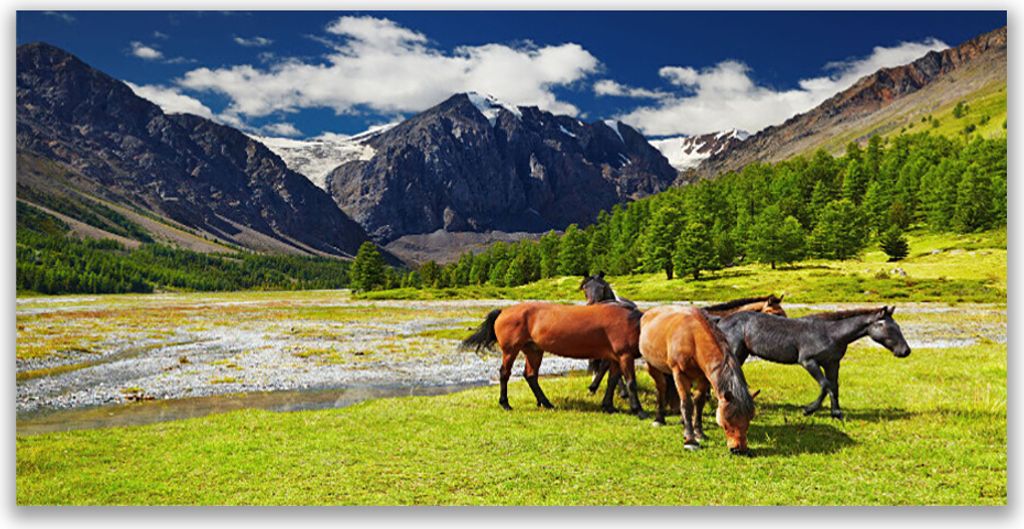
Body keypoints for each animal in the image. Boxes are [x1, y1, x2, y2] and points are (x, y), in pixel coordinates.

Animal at [461, 301, 647, 416]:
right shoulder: (625, 356)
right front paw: (639, 410)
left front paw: (609, 406)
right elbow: (631, 382)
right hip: (510, 351)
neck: (633, 324)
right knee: (504, 374)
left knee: (531, 376)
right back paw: (505, 403)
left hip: (534, 351)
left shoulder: (616, 358)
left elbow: (612, 381)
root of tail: (503, 311)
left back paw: (545, 403)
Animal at [639, 305, 758, 455]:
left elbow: (699, 403)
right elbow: (687, 404)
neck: (693, 339)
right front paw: (690, 440)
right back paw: (659, 419)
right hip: (652, 365)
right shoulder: (680, 374)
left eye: (749, 418)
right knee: (661, 387)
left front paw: (699, 433)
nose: (739, 449)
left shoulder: (703, 377)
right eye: (728, 421)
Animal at [717, 306, 910, 419]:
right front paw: (809, 409)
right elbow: (826, 385)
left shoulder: (832, 363)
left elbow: (834, 386)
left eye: (898, 326)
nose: (905, 351)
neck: (831, 333)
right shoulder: (808, 361)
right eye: (888, 327)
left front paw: (836, 412)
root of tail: (720, 321)